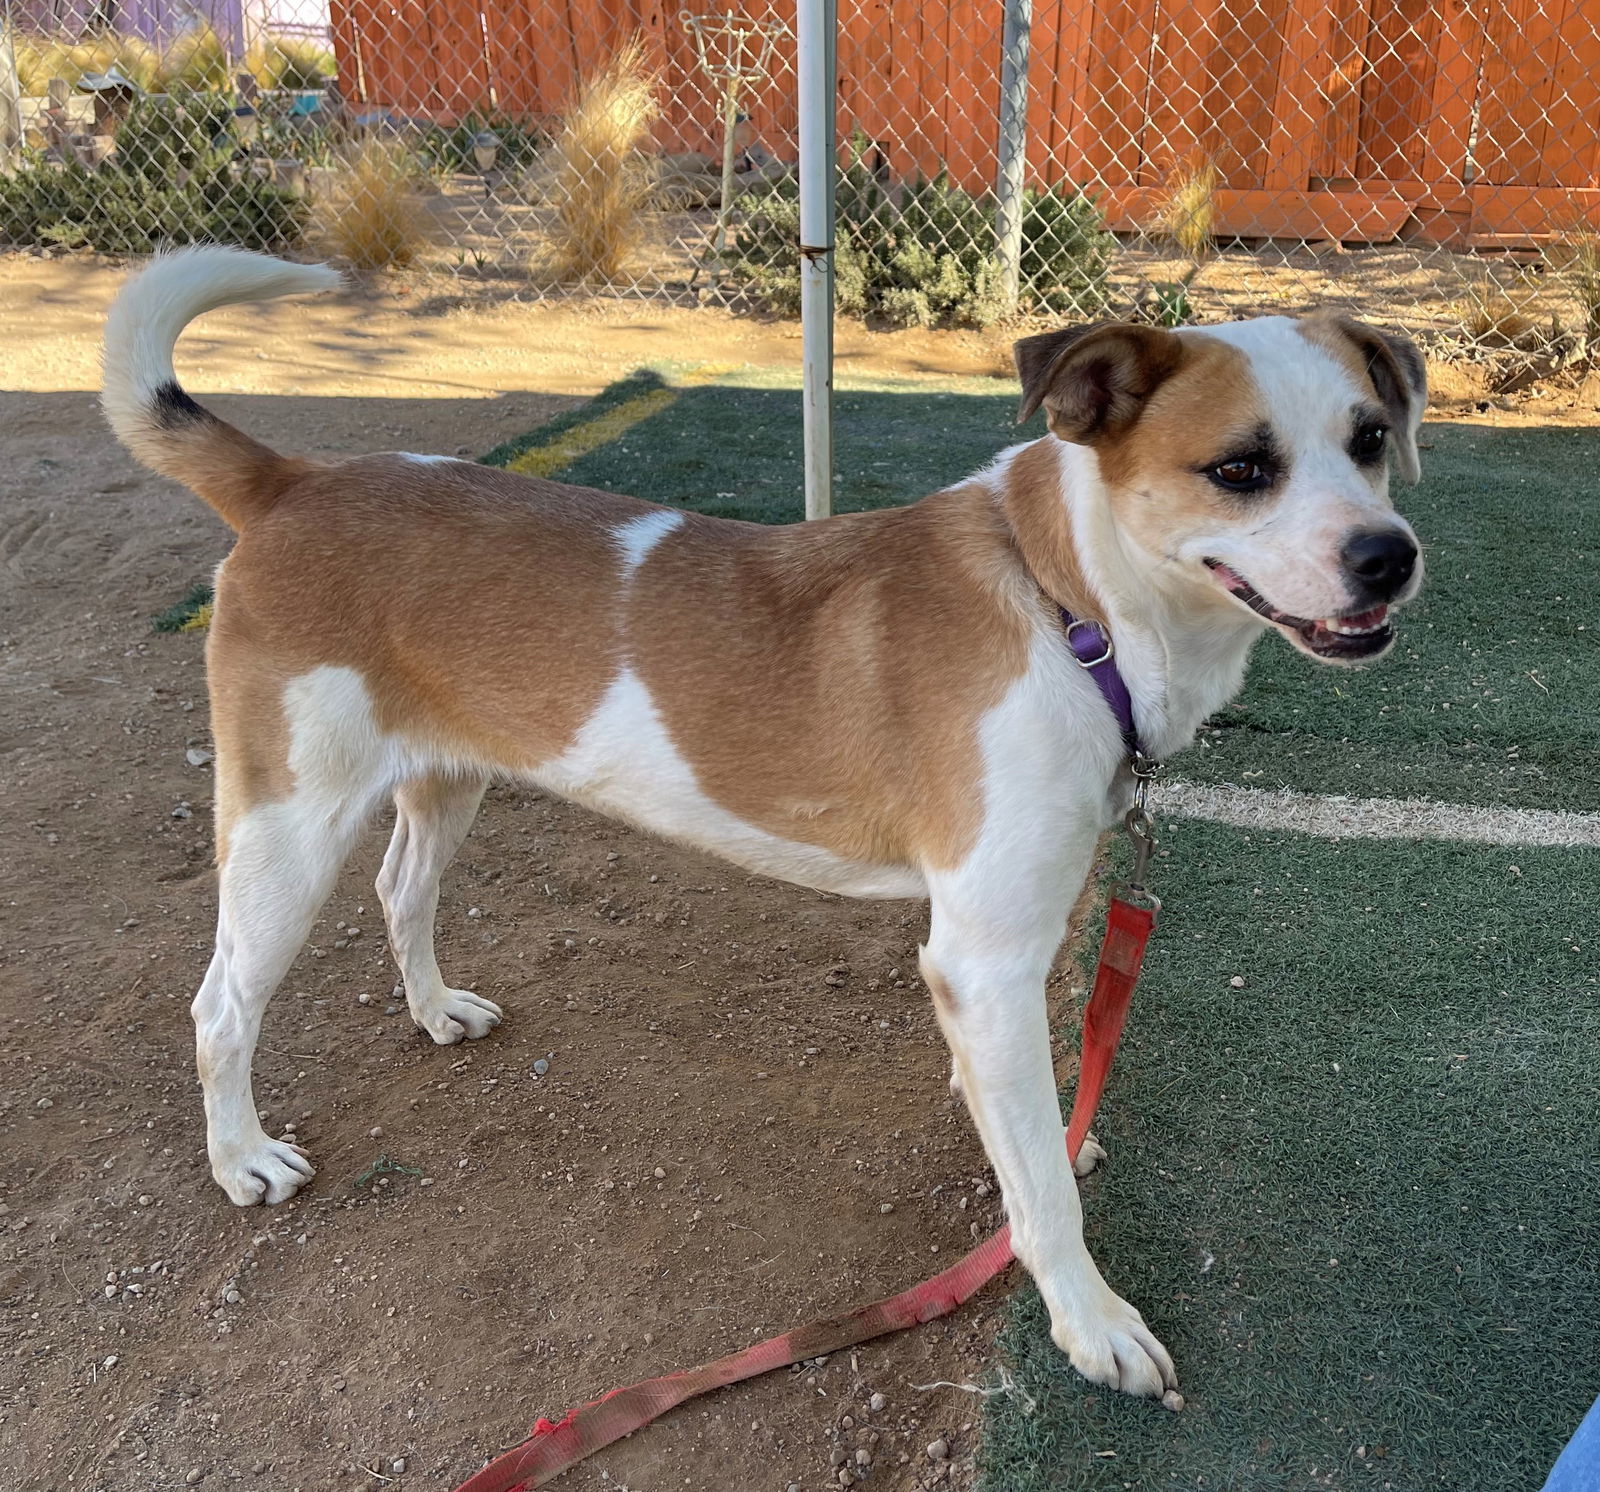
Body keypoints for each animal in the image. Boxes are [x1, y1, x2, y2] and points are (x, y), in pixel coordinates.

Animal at [100, 244, 1427, 1395]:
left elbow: (1018, 1125)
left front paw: (1038, 1134)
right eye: (1241, 467)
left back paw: (433, 1010)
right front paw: (1089, 1319)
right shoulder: (985, 952)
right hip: (288, 822)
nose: (1389, 557)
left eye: (1369, 441)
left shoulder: (984, 954)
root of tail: (296, 483)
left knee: (399, 890)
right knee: (220, 1004)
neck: (1067, 604)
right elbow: (1046, 1198)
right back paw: (241, 1158)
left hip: (445, 778)